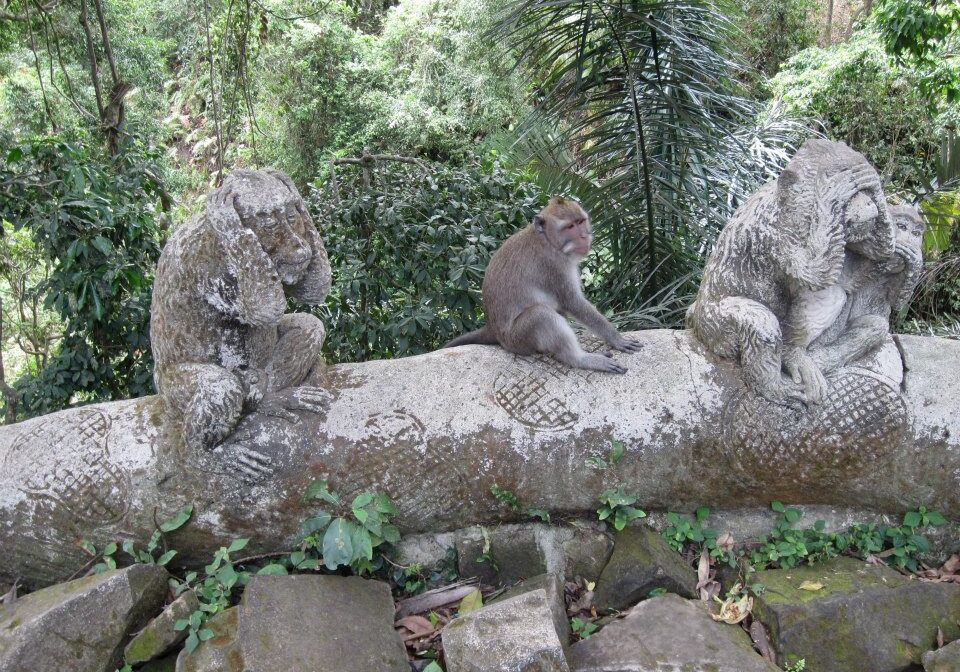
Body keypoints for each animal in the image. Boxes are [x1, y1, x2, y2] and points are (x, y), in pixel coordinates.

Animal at [444, 197, 641, 373]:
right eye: (569, 227)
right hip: (518, 339)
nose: (584, 236)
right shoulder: (554, 265)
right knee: (541, 315)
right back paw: (580, 359)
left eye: (580, 221)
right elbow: (572, 302)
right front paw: (615, 338)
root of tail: (492, 329)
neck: (547, 240)